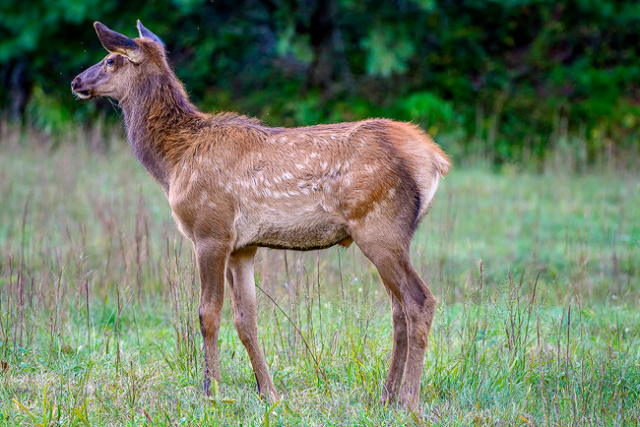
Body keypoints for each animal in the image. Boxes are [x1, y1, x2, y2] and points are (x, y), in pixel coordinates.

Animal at [71, 20, 450, 412]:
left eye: (110, 59)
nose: (76, 81)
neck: (174, 162)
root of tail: (435, 158)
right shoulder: (243, 247)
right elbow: (246, 320)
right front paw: (268, 392)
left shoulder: (210, 231)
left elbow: (208, 314)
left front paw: (211, 391)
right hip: (389, 234)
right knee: (398, 310)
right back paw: (386, 395)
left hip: (379, 225)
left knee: (419, 302)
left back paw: (409, 399)